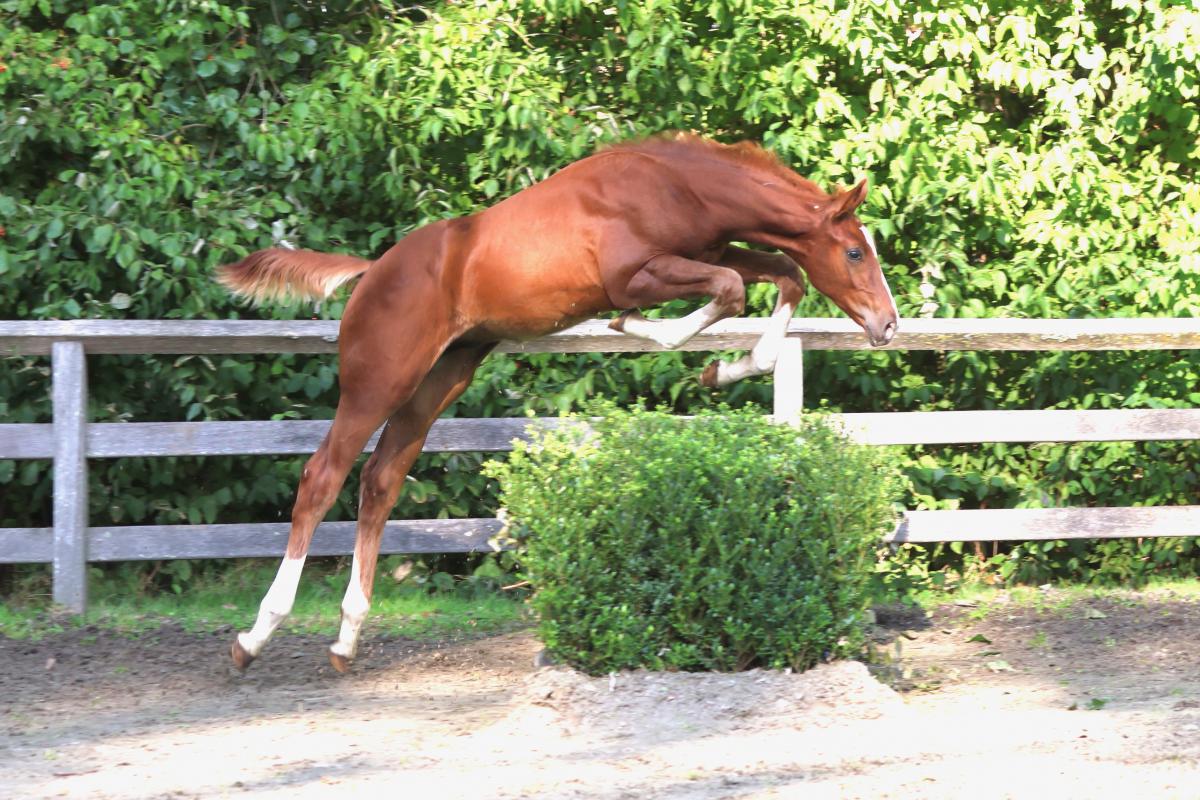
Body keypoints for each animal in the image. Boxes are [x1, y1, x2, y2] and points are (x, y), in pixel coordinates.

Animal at [218, 133, 899, 672]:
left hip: (442, 378)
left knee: (380, 480)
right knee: (322, 476)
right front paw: (641, 331)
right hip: (379, 382)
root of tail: (373, 271)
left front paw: (726, 368)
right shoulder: (638, 273)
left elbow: (784, 275)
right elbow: (724, 292)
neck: (678, 185)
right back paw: (255, 636)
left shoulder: (712, 253)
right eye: (854, 251)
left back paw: (346, 638)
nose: (887, 325)